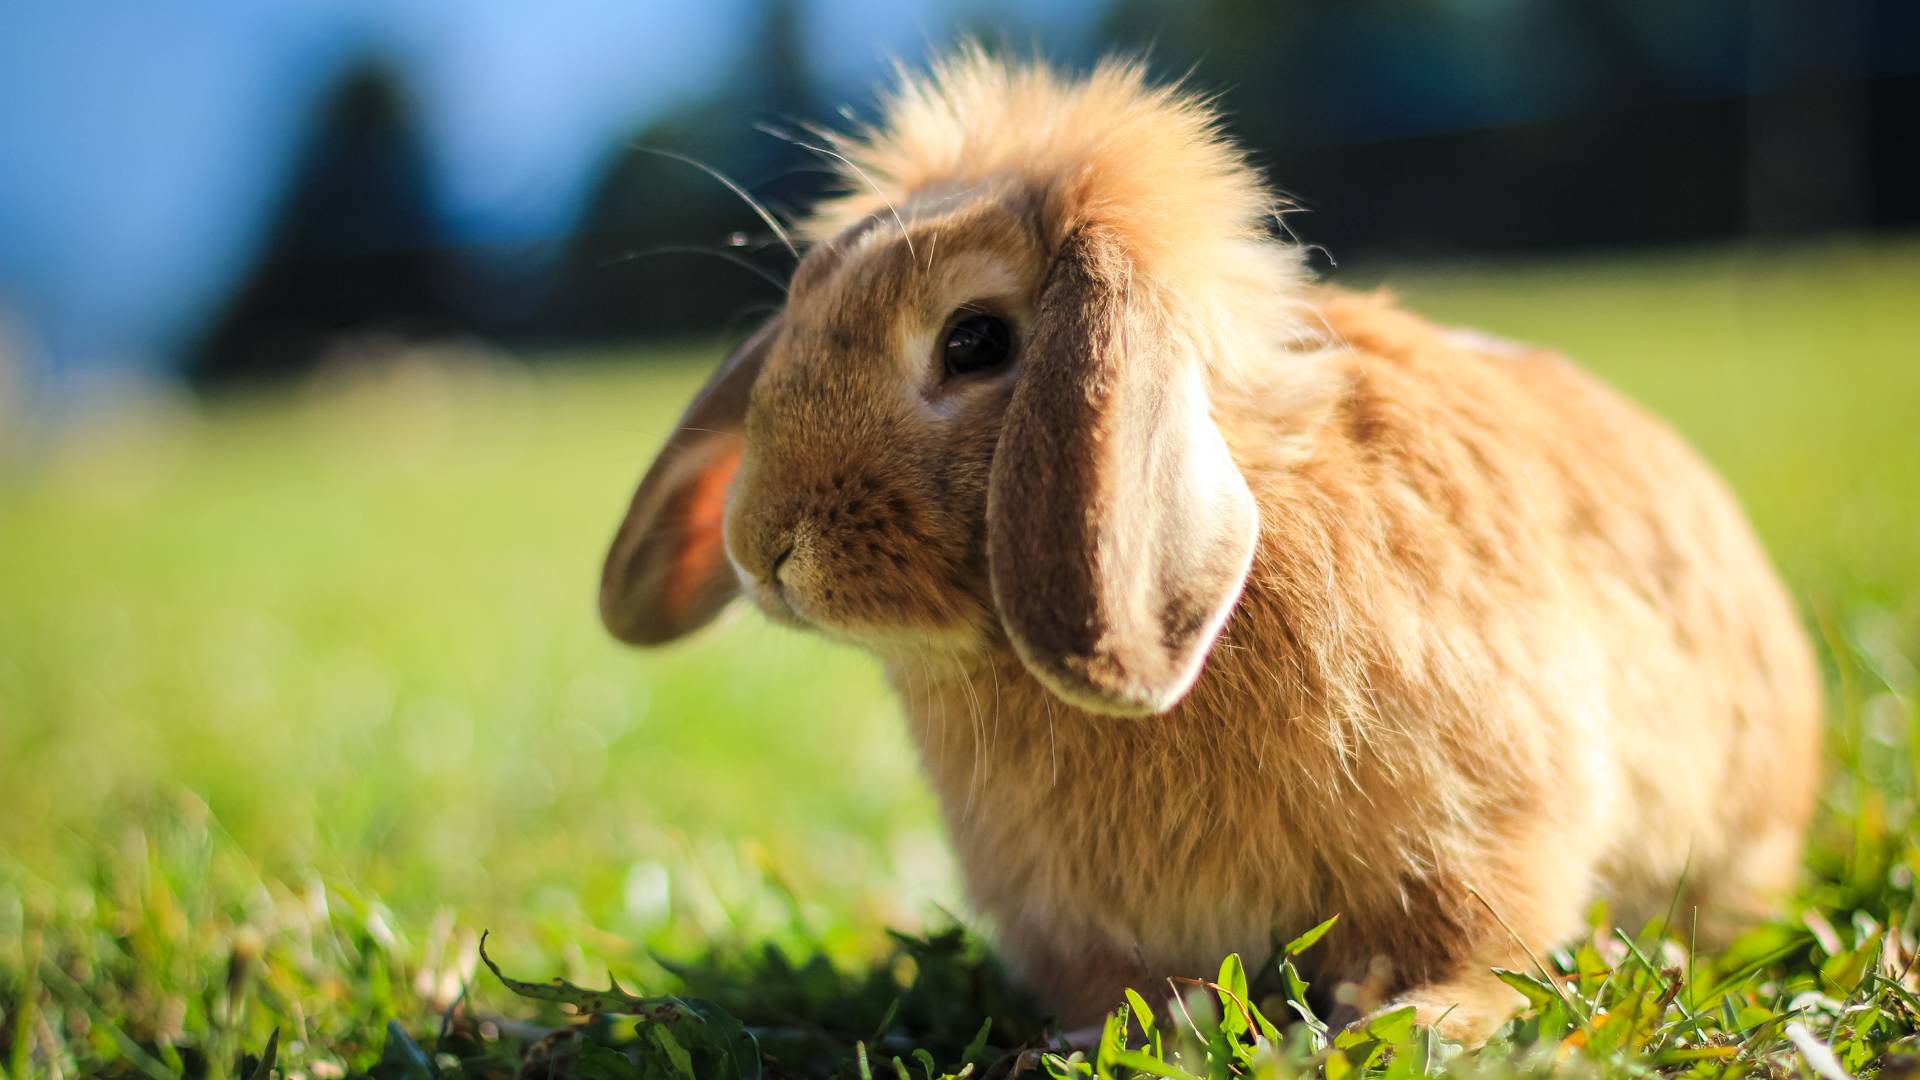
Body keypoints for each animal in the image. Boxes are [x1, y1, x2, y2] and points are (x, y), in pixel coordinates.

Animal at [595, 50, 1812, 1045]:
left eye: (974, 341)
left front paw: (1429, 1022)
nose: (762, 548)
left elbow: (1484, 932)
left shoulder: (1490, 821)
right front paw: (1102, 1039)